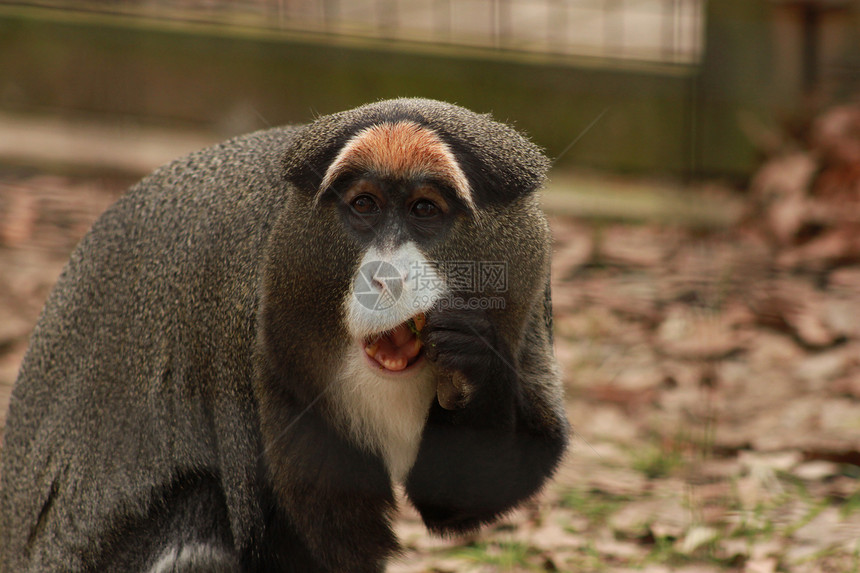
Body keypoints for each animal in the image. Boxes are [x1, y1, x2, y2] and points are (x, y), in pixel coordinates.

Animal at [0, 99, 572, 572]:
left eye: (424, 209)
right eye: (363, 206)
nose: (387, 278)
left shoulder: (529, 299)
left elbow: (460, 492)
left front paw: (474, 360)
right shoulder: (249, 330)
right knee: (200, 519)